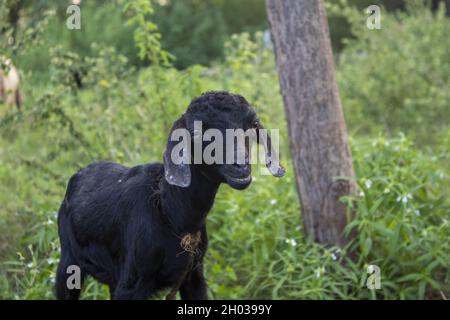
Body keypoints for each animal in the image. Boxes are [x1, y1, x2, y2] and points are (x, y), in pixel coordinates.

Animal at [53, 90, 284, 300]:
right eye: (198, 133)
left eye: (252, 124)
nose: (241, 166)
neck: (170, 211)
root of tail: (80, 172)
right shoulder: (131, 285)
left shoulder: (193, 277)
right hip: (68, 262)